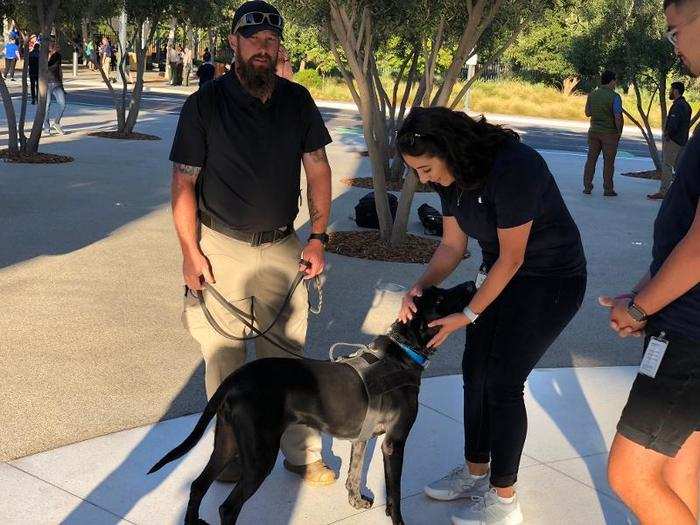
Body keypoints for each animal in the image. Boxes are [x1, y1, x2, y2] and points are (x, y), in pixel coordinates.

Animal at [148, 282, 476, 524]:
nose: (472, 283)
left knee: (197, 485)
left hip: (227, 443)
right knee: (227, 507)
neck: (401, 355)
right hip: (259, 455)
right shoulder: (394, 443)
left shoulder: (363, 438)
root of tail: (237, 376)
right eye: (441, 298)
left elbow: (354, 475)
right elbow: (394, 495)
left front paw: (356, 499)